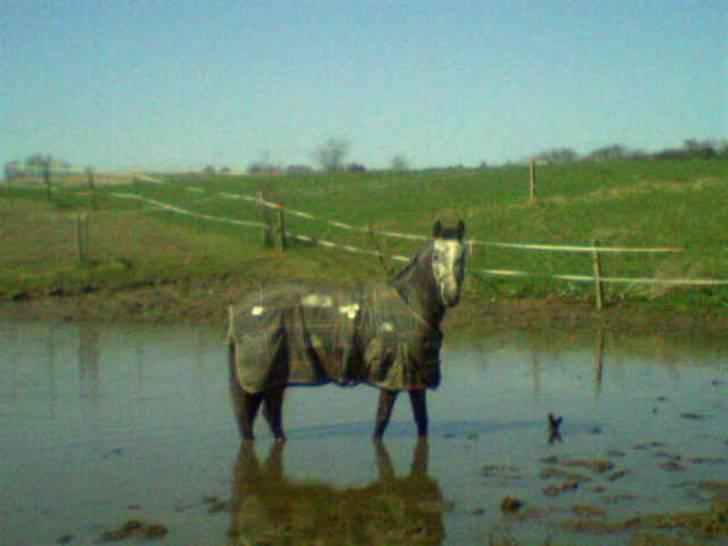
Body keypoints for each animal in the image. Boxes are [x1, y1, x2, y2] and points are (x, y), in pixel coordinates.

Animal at [228, 219, 466, 440]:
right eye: (436, 256)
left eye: (462, 256)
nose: (451, 295)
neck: (410, 303)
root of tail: (237, 309)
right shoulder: (391, 376)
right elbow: (381, 421)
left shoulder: (416, 379)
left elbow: (421, 421)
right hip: (260, 376)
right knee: (254, 416)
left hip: (274, 378)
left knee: (269, 415)